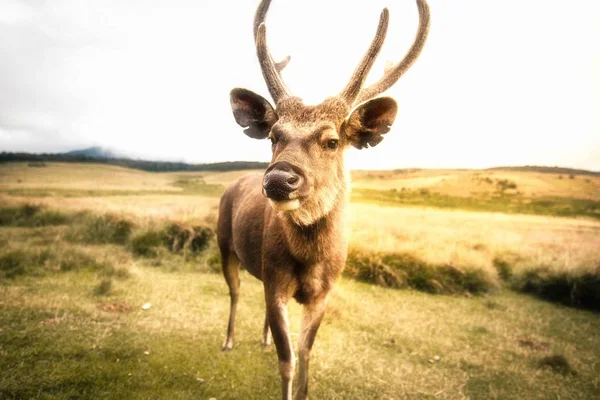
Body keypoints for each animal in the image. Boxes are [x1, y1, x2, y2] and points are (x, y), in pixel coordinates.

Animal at [218, 1, 428, 398]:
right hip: (224, 244)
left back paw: (262, 338)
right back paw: (228, 340)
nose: (279, 179)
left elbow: (305, 352)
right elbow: (287, 360)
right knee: (235, 293)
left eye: (332, 141)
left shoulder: (324, 292)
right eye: (273, 135)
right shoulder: (276, 280)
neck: (310, 260)